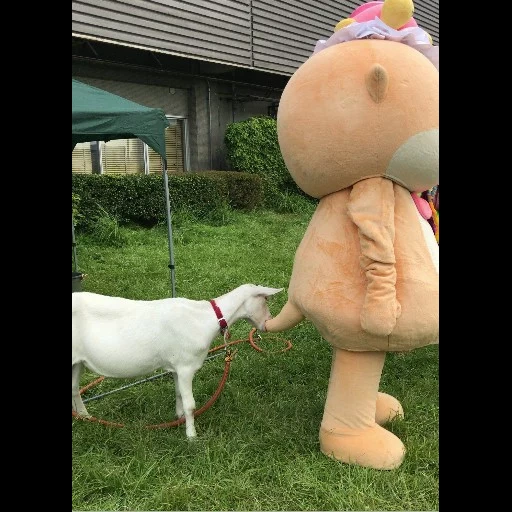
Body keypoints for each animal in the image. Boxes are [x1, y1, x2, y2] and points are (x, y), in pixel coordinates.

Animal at [71, 284, 282, 436]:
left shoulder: (176, 367)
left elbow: (179, 394)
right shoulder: (186, 367)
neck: (206, 317)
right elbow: (190, 404)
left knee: (74, 389)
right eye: (265, 300)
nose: (267, 322)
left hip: (77, 362)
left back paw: (85, 416)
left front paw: (179, 417)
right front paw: (191, 436)